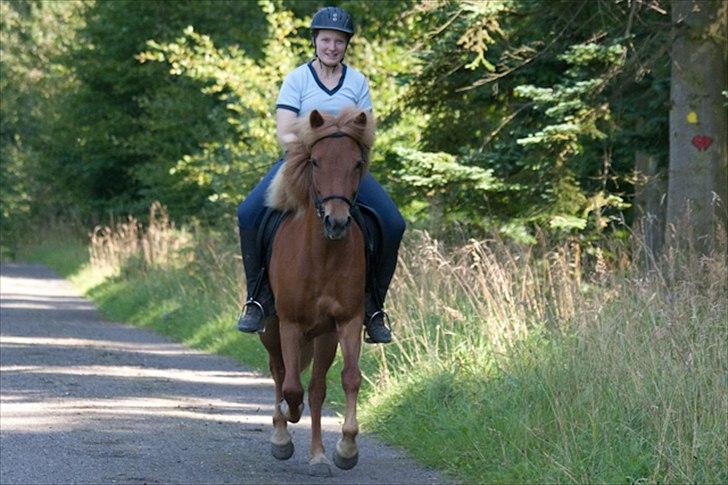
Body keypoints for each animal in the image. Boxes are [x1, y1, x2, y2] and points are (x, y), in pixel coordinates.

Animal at [260, 107, 372, 476]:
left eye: (357, 163)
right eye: (316, 162)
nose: (336, 222)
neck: (323, 255)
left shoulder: (347, 321)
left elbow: (349, 378)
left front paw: (346, 448)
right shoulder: (289, 324)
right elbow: (291, 386)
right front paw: (287, 420)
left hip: (325, 336)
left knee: (318, 388)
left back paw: (318, 454)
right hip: (270, 329)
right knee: (279, 372)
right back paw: (281, 435)